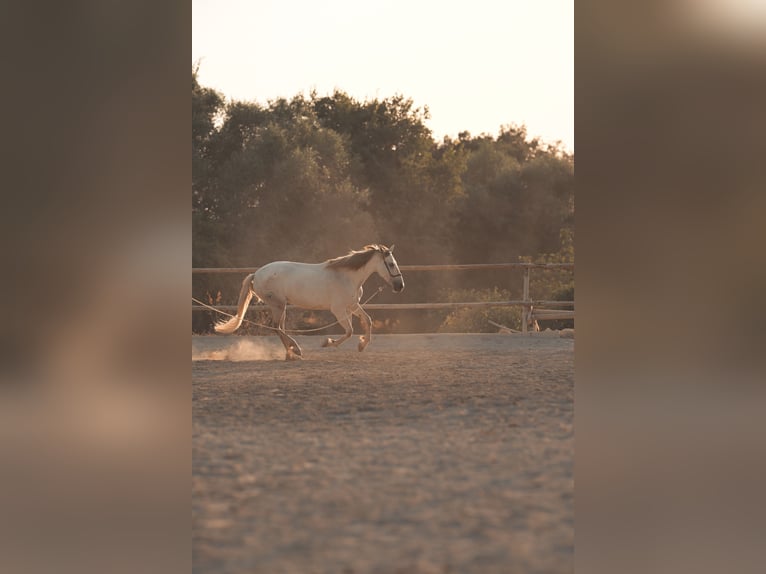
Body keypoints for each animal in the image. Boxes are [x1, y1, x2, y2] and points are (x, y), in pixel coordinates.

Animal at [213, 244, 405, 360]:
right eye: (391, 264)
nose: (400, 286)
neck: (346, 276)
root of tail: (256, 274)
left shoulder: (352, 306)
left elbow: (368, 321)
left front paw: (362, 345)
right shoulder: (338, 310)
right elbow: (349, 331)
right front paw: (328, 343)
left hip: (281, 306)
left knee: (280, 328)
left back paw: (291, 354)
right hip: (278, 305)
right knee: (277, 327)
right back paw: (295, 350)